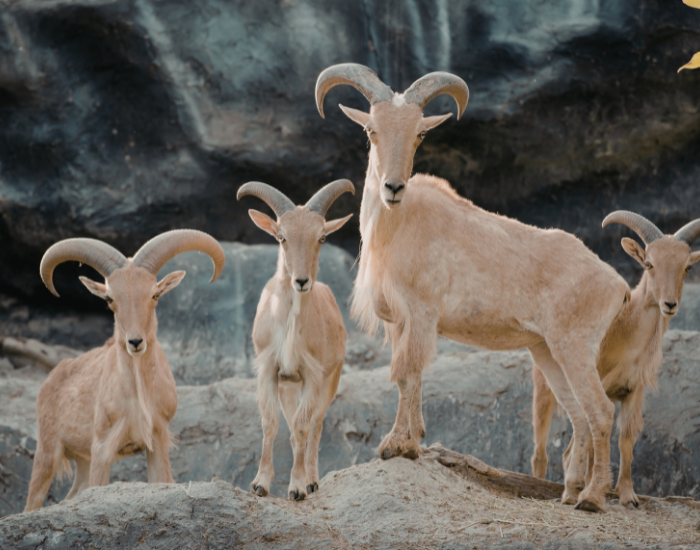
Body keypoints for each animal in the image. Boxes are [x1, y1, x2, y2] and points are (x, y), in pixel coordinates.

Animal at [24, 230, 225, 512]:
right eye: (110, 299)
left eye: (155, 295)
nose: (135, 342)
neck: (138, 398)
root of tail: (51, 379)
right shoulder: (102, 449)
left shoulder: (157, 441)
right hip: (48, 450)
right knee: (32, 502)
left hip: (81, 460)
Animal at [237, 179, 354, 501]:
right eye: (281, 237)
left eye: (322, 237)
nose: (301, 281)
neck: (288, 327)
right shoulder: (269, 369)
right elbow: (270, 423)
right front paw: (260, 484)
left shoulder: (313, 374)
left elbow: (304, 427)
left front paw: (298, 487)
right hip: (289, 387)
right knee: (291, 427)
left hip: (329, 380)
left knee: (315, 425)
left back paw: (311, 480)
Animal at [315, 63, 630, 512]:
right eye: (371, 130)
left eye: (420, 133)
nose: (393, 187)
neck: (396, 227)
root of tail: (617, 284)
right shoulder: (402, 323)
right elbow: (410, 377)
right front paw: (414, 441)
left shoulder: (421, 314)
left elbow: (406, 373)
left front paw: (395, 445)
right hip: (547, 351)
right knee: (579, 415)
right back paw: (570, 492)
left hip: (574, 346)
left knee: (601, 411)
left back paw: (591, 497)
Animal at [531, 211, 700, 508]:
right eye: (649, 264)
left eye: (687, 268)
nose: (669, 304)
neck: (625, 332)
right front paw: (591, 490)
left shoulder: (632, 391)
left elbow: (625, 440)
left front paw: (627, 495)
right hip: (544, 388)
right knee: (541, 449)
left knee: (567, 449)